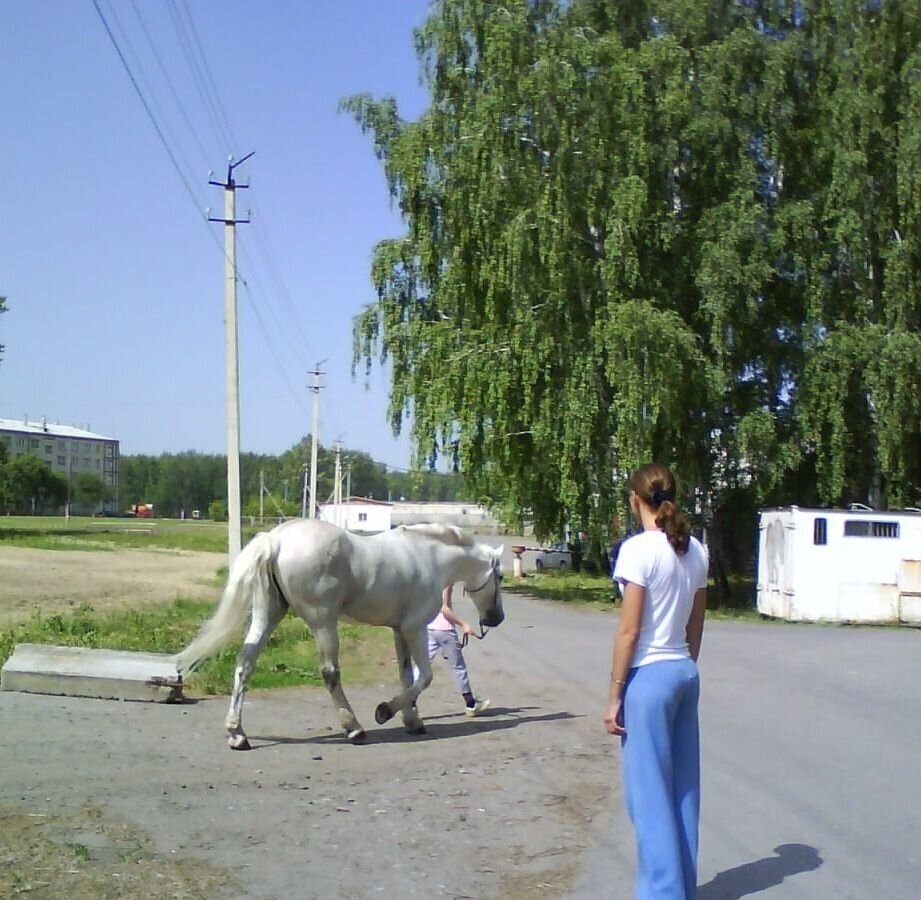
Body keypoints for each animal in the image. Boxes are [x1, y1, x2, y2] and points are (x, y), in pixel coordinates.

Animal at [172, 516, 504, 748]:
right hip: (323, 622)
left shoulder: (399, 630)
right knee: (330, 672)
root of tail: (275, 540)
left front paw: (412, 720)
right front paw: (385, 711)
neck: (427, 557)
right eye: (499, 575)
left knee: (244, 664)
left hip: (268, 613)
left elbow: (406, 676)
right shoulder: (414, 628)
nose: (496, 618)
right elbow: (425, 677)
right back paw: (354, 728)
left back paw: (237, 734)